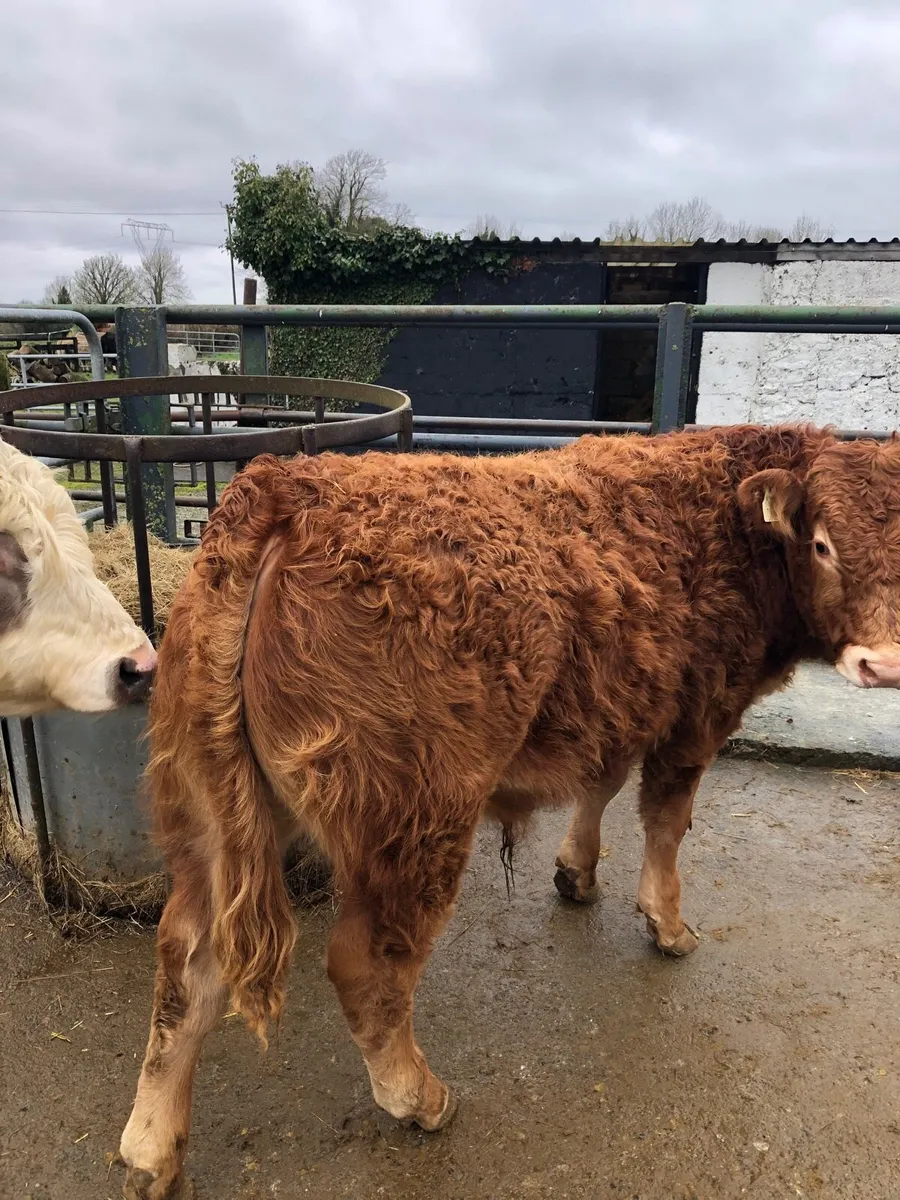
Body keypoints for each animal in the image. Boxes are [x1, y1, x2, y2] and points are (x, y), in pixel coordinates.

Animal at [120, 424, 900, 1198]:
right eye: (823, 543)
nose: (884, 665)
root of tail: (284, 488)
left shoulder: (616, 703)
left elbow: (601, 786)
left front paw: (576, 873)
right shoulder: (698, 714)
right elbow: (666, 823)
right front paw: (668, 924)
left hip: (215, 814)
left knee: (187, 960)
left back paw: (152, 1150)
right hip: (416, 821)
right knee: (365, 964)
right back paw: (418, 1097)